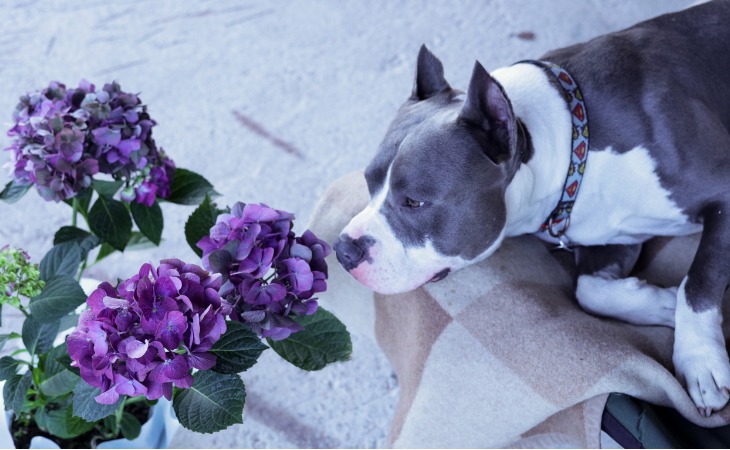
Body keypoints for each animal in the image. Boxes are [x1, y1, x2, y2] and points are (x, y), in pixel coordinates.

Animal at [334, 1, 728, 418]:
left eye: (414, 202)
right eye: (369, 182)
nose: (343, 249)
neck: (572, 142)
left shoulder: (723, 191)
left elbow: (699, 279)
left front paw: (700, 361)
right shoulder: (612, 234)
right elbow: (590, 290)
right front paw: (664, 303)